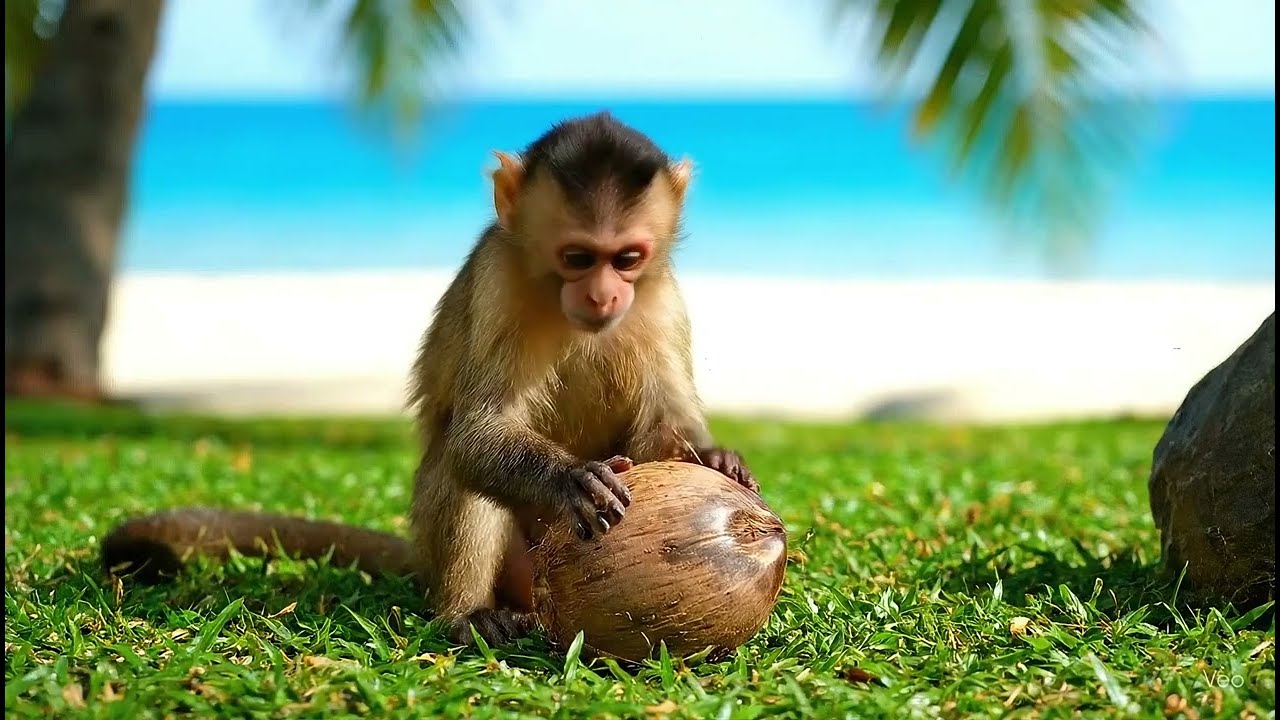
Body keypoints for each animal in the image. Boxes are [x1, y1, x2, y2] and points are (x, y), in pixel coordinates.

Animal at [101, 111, 759, 648]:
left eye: (626, 259)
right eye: (577, 258)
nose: (603, 294)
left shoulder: (661, 295)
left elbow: (662, 427)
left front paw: (714, 457)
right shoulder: (498, 281)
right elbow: (475, 435)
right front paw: (571, 478)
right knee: (458, 464)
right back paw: (467, 614)